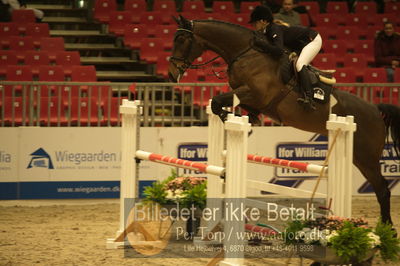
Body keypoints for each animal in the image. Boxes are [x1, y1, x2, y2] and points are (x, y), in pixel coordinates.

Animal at [167, 15, 400, 225]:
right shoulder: (249, 98)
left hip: (366, 157)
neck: (246, 53)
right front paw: (246, 120)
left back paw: (386, 230)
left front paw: (234, 121)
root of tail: (375, 109)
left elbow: (217, 102)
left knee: (382, 189)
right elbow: (224, 105)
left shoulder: (254, 94)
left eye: (181, 40)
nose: (170, 75)